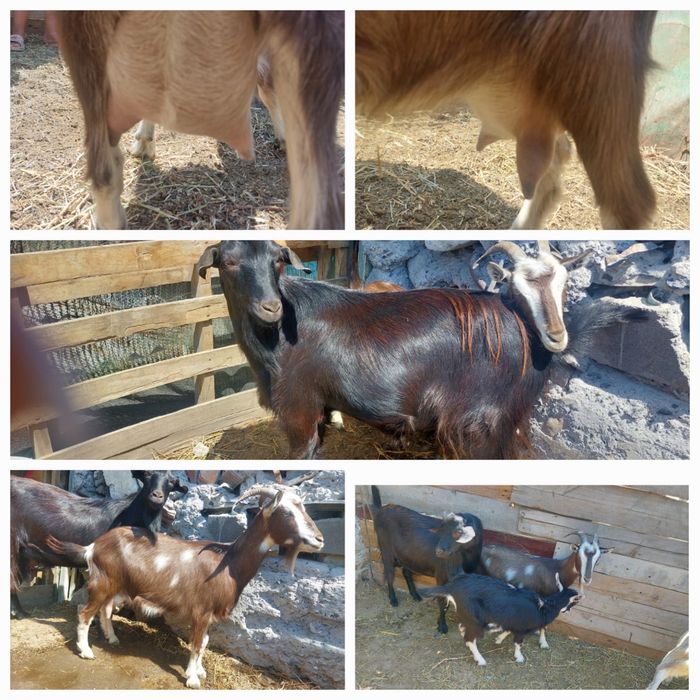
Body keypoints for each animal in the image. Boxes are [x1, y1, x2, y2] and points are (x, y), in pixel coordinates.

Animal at [45, 484, 323, 688]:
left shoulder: (209, 615)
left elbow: (206, 642)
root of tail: (92, 547)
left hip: (118, 587)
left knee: (105, 610)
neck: (227, 563)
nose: (320, 539)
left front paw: (200, 671)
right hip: (102, 582)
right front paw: (192, 679)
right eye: (287, 513)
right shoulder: (201, 611)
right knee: (84, 613)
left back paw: (112, 639)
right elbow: (197, 643)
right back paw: (86, 651)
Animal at [371, 486, 483, 634]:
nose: (439, 551)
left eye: (458, 532)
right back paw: (393, 600)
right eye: (441, 531)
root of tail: (381, 509)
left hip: (408, 556)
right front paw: (442, 626)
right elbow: (442, 602)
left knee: (406, 572)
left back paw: (415, 596)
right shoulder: (441, 575)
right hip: (386, 549)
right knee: (389, 573)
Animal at [420, 573, 582, 665]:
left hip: (466, 615)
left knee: (462, 628)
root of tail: (451, 587)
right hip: (475, 621)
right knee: (470, 639)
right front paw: (519, 658)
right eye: (574, 602)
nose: (569, 610)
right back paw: (480, 660)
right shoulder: (521, 628)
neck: (543, 607)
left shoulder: (512, 622)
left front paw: (499, 639)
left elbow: (507, 630)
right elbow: (518, 643)